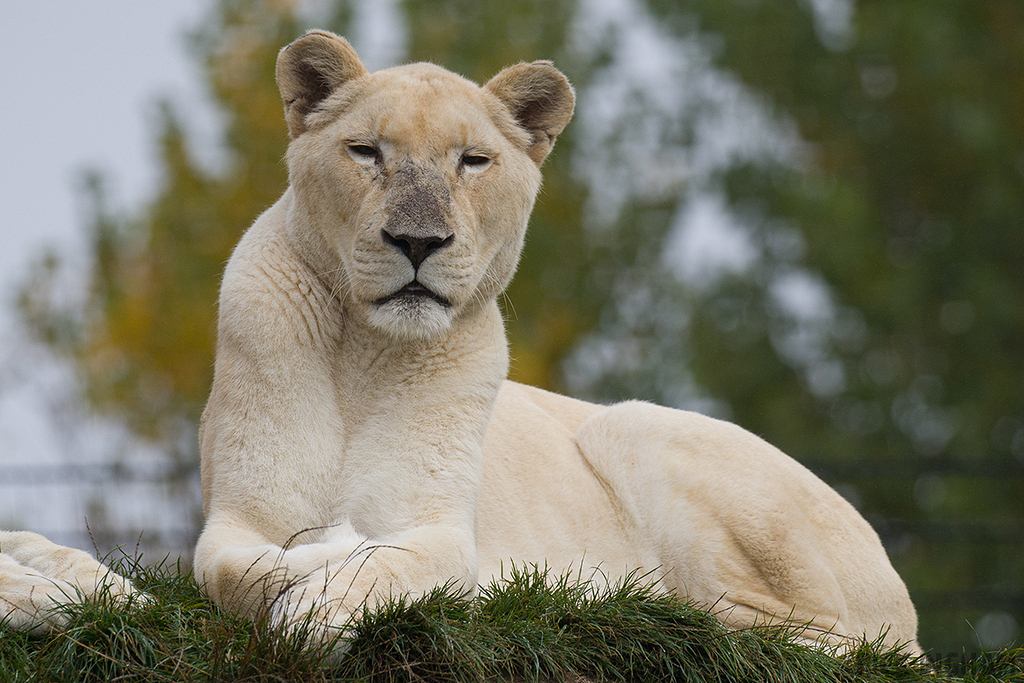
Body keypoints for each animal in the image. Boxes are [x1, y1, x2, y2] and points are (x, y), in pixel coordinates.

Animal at [1, 30, 919, 656]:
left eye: (473, 161)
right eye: (365, 151)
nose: (418, 241)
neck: (365, 357)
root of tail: (904, 599)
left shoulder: (443, 528)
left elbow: (387, 565)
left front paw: (328, 598)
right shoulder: (237, 520)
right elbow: (238, 568)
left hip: (636, 425)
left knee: (802, 634)